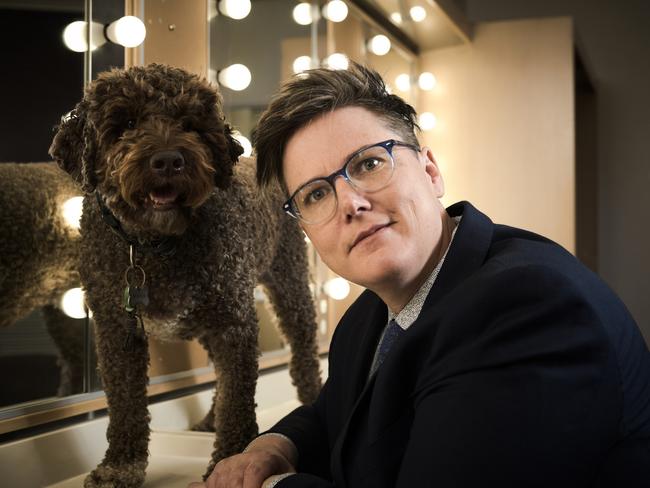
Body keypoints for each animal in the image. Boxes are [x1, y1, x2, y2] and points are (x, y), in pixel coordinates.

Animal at [49, 63, 322, 486]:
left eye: (190, 124)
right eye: (127, 122)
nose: (167, 160)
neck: (152, 246)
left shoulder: (233, 323)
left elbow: (237, 398)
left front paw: (230, 459)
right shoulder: (116, 332)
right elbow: (126, 405)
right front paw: (120, 466)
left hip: (288, 283)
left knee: (303, 350)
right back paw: (209, 418)